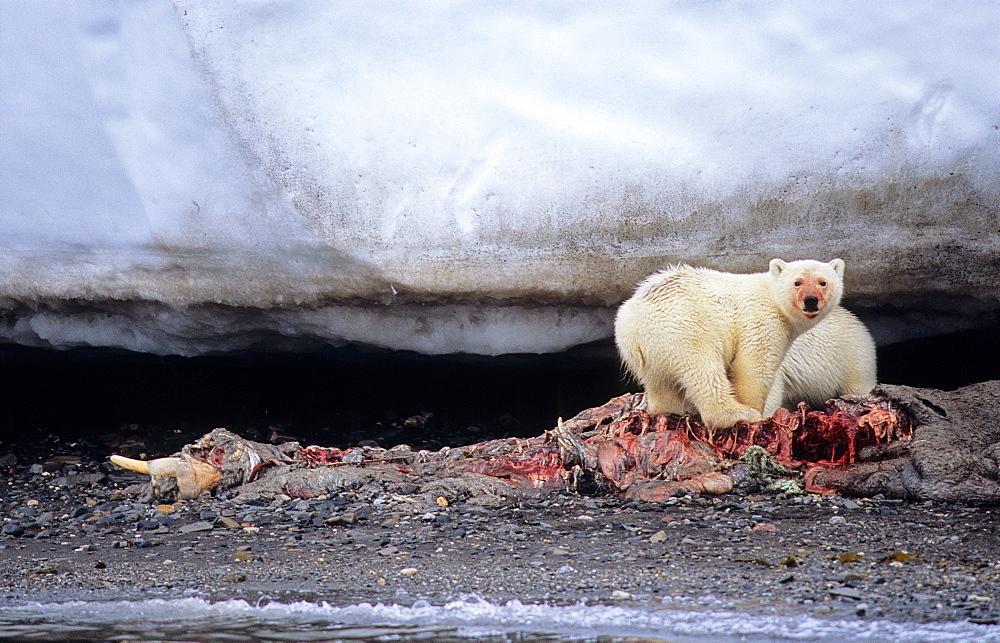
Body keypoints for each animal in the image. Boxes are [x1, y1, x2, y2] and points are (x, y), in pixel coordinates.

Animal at [616, 260, 844, 430]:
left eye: (822, 282)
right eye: (797, 282)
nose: (811, 300)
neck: (771, 295)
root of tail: (632, 322)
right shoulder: (761, 319)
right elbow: (753, 365)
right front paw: (756, 410)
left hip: (646, 352)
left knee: (660, 382)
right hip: (685, 328)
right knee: (704, 369)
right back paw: (737, 414)